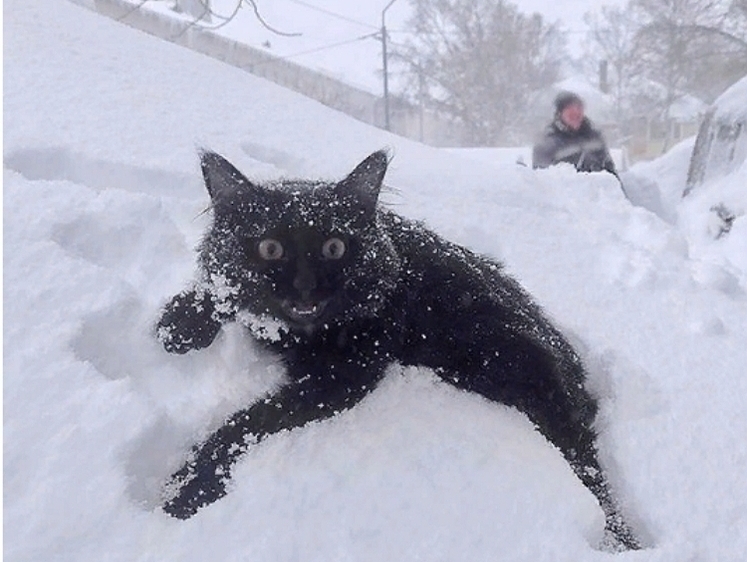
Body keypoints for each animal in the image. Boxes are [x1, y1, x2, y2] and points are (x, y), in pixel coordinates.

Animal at [156, 148, 644, 548]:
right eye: (269, 247)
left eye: (334, 246)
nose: (305, 288)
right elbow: (221, 291)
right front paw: (180, 324)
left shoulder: (342, 379)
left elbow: (244, 425)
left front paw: (184, 491)